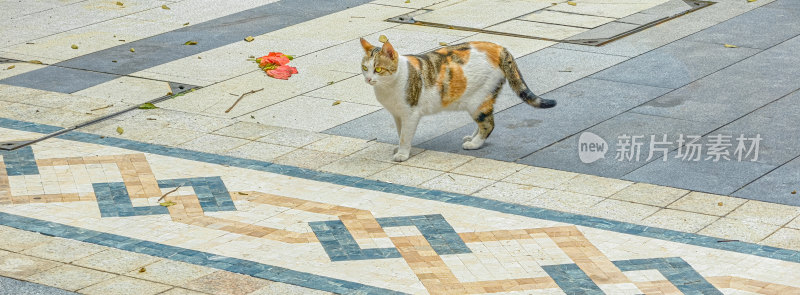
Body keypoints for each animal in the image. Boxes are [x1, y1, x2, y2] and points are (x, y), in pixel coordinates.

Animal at [360, 37, 552, 163]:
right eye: (364, 68)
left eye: (378, 69)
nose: (368, 79)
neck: (387, 87)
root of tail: (498, 48)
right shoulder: (397, 114)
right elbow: (401, 132)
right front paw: (401, 148)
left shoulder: (410, 113)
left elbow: (405, 135)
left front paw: (402, 153)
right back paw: (472, 137)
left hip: (478, 100)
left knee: (488, 124)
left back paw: (474, 144)